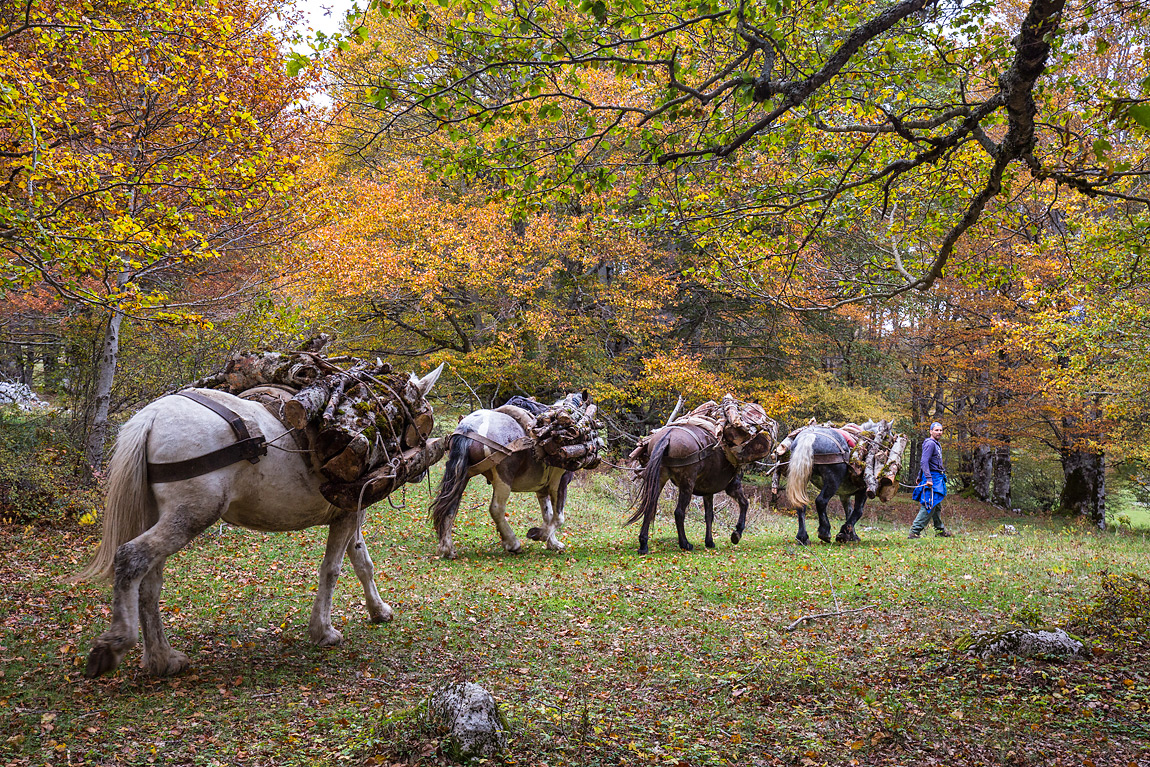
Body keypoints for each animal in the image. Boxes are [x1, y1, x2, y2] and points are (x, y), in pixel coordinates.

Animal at [630, 425, 754, 558]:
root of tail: (668, 436)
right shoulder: (733, 486)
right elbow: (744, 504)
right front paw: (737, 533)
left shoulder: (708, 492)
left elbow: (709, 515)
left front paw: (709, 541)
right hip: (687, 484)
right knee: (679, 512)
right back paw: (685, 544)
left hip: (659, 479)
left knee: (650, 506)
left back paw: (643, 545)